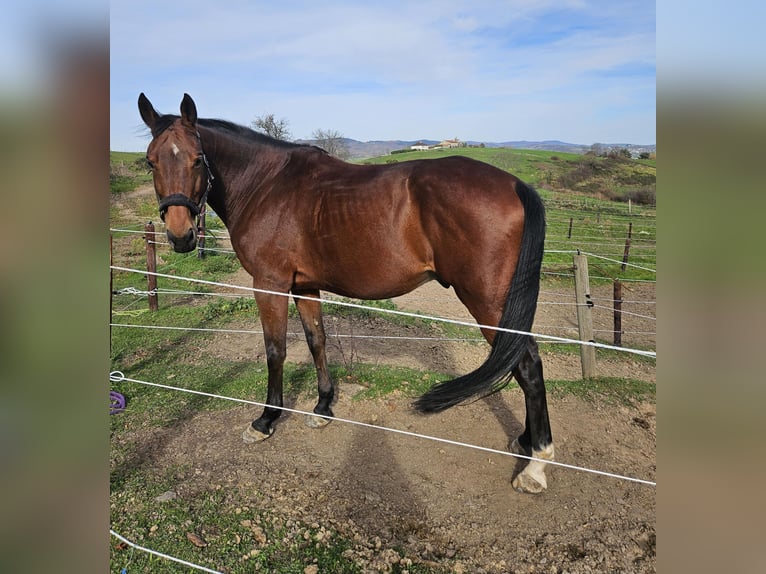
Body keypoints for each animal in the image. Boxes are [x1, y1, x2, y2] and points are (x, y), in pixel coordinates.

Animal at [138, 93, 555, 493]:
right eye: (150, 162)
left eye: (197, 160)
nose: (180, 236)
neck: (266, 185)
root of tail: (514, 185)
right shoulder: (305, 286)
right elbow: (316, 341)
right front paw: (323, 406)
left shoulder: (270, 285)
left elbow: (275, 351)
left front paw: (267, 419)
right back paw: (525, 443)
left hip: (489, 302)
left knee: (527, 364)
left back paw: (536, 465)